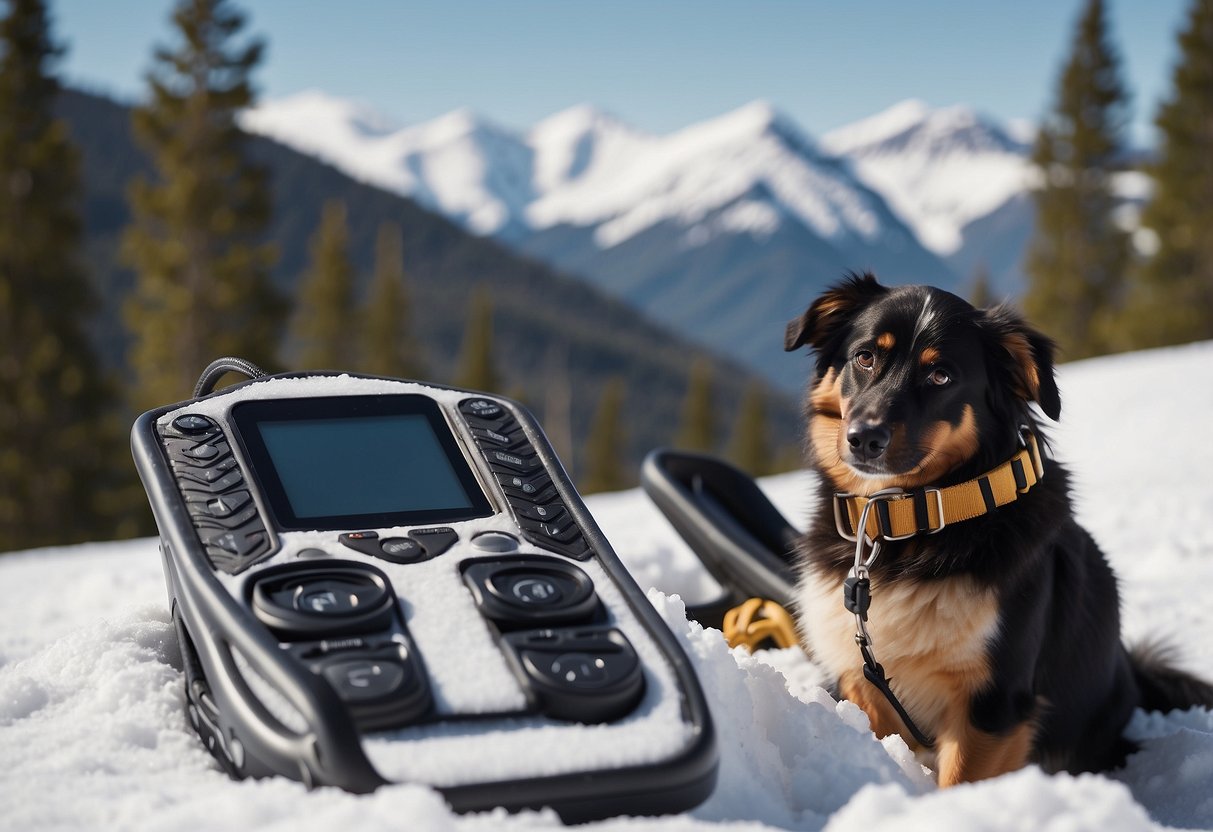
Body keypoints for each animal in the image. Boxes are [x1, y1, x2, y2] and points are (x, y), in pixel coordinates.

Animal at [781, 271, 1208, 790]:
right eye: (865, 357)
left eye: (940, 375)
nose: (864, 438)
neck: (907, 519)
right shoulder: (862, 681)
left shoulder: (995, 699)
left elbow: (960, 783)